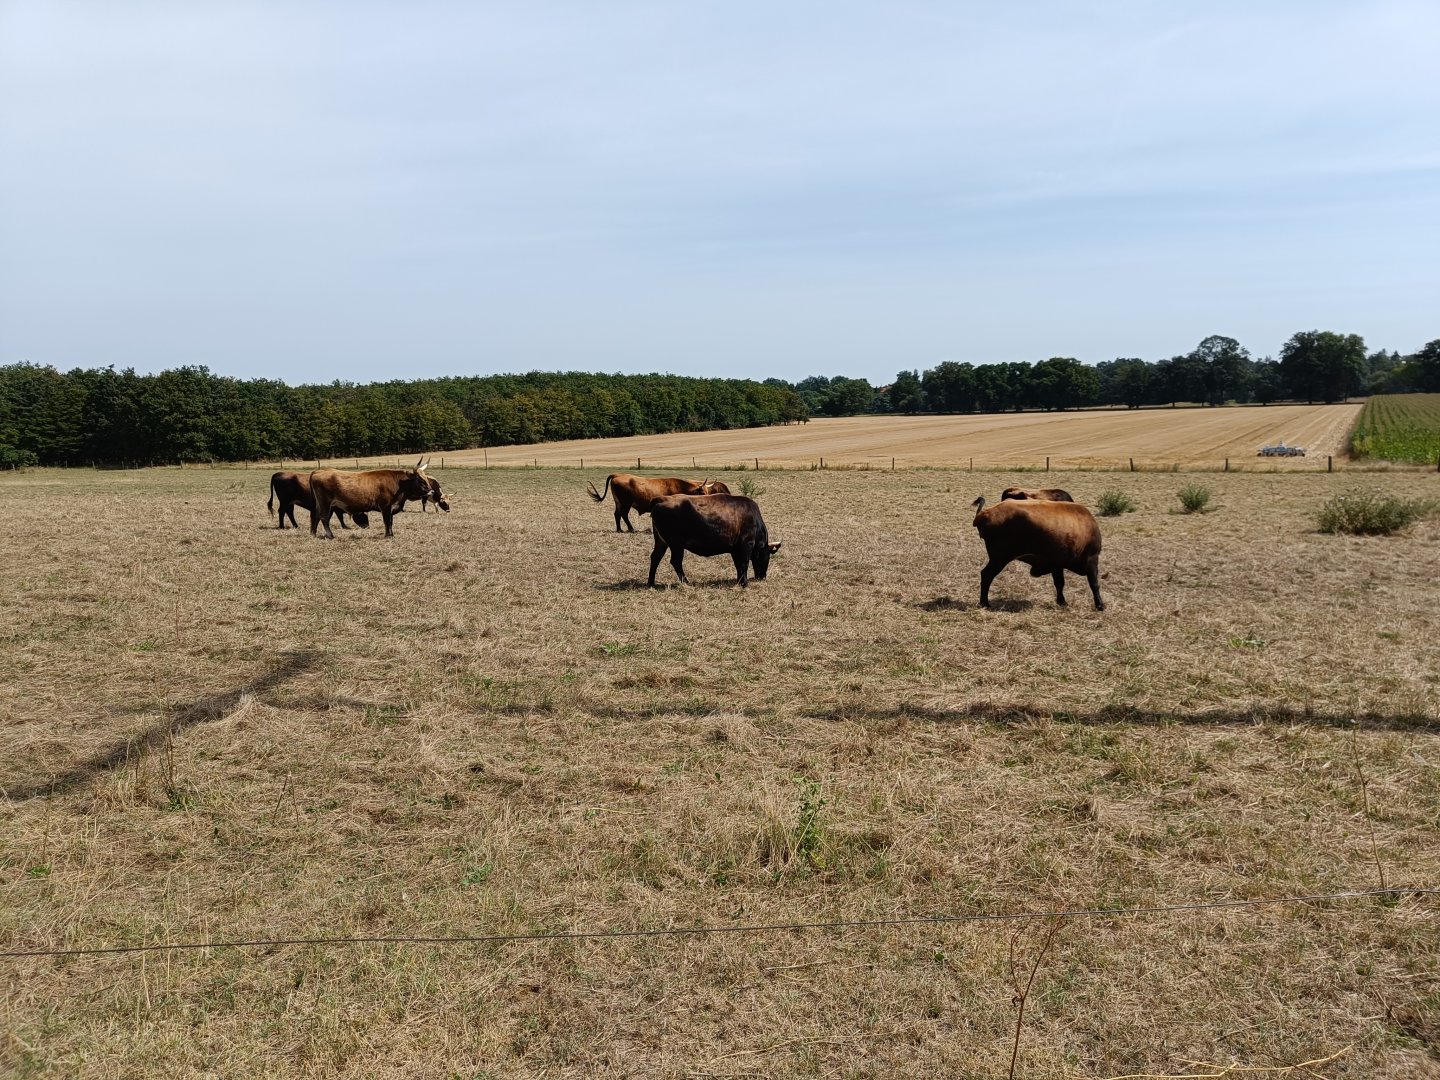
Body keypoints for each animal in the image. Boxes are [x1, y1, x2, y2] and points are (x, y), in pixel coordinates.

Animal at [586, 473, 731, 532]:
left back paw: (619, 529)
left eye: (708, 491)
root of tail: (617, 475)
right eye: (702, 493)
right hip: (626, 502)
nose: (709, 500)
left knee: (617, 514)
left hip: (619, 503)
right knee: (623, 515)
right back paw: (630, 529)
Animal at [647, 494, 781, 588]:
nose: (762, 577)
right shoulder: (746, 545)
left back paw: (651, 583)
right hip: (676, 544)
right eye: (767, 556)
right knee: (676, 561)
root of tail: (661, 499)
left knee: (655, 557)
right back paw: (686, 582)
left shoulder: (735, 549)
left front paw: (739, 581)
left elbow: (738, 565)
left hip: (661, 542)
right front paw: (744, 583)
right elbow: (744, 563)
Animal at [971, 495, 1104, 610]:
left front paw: (1061, 601)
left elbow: (1059, 583)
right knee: (986, 575)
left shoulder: (1056, 565)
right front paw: (1100, 605)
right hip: (1000, 559)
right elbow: (1094, 584)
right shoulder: (1092, 559)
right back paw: (985, 603)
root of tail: (985, 513)